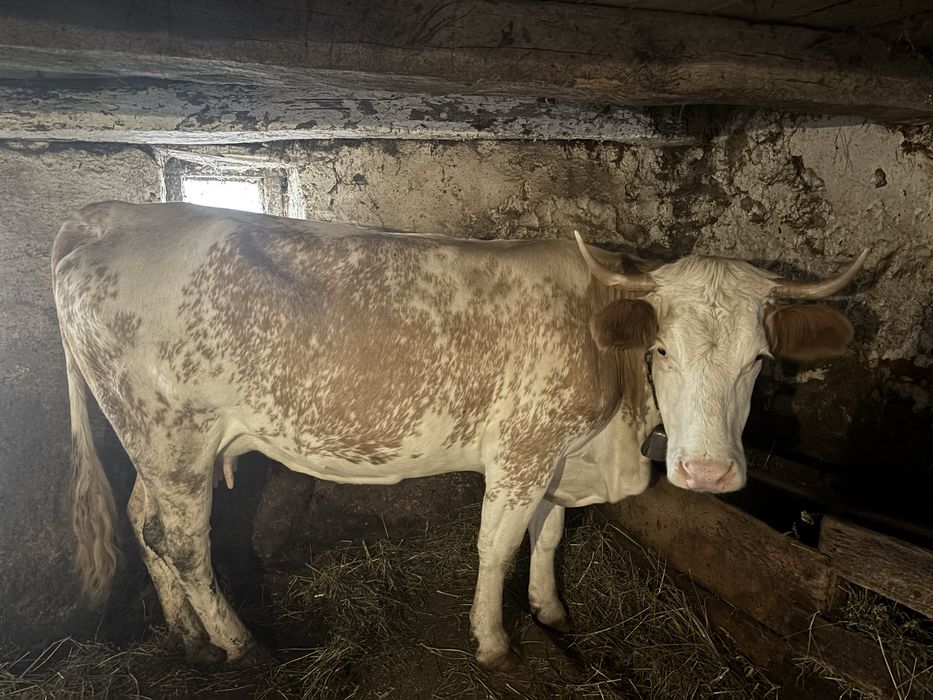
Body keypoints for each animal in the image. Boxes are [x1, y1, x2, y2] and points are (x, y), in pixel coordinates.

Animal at [53, 201, 865, 671]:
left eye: (758, 360)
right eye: (661, 349)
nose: (705, 475)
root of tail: (113, 217)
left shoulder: (560, 456)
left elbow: (548, 537)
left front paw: (549, 610)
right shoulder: (524, 448)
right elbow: (496, 547)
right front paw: (494, 642)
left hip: (154, 443)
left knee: (145, 525)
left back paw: (188, 636)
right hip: (174, 436)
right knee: (186, 543)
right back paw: (239, 645)